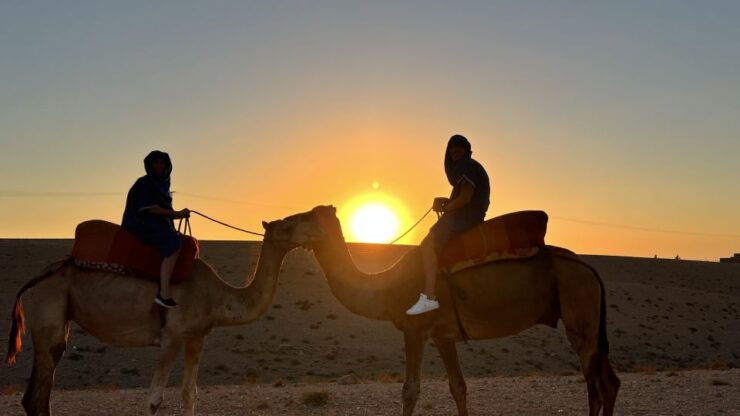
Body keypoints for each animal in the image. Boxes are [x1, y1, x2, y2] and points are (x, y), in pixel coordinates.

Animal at [4, 214, 325, 416]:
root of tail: (37, 279)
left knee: (38, 395)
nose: (317, 225)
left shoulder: (197, 337)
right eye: (288, 224)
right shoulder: (171, 336)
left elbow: (190, 394)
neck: (217, 295)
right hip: (49, 311)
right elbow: (154, 399)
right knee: (36, 396)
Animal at [290, 205, 620, 416]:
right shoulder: (443, 336)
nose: (279, 223)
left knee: (596, 384)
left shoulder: (415, 329)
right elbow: (458, 387)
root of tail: (588, 268)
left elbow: (410, 390)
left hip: (579, 309)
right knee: (609, 381)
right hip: (590, 320)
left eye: (303, 217)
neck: (384, 286)